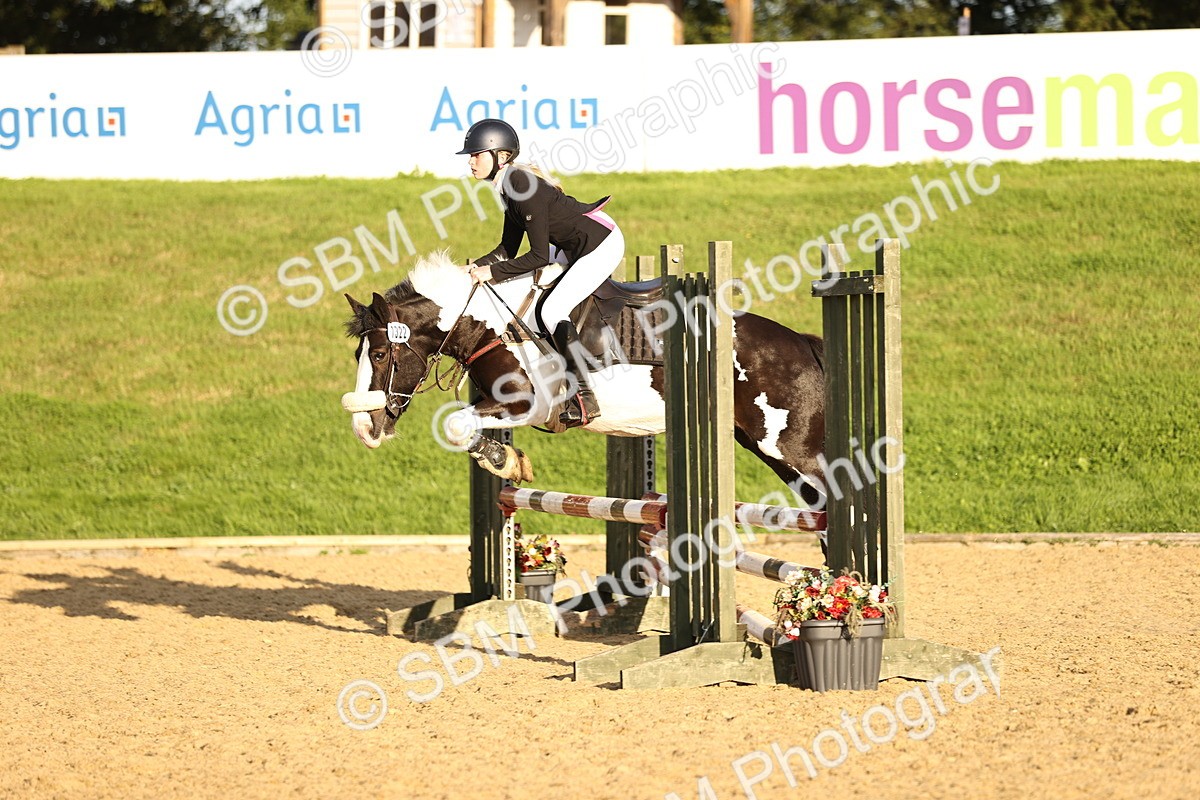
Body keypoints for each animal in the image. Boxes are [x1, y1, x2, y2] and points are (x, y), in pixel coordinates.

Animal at [341, 251, 825, 504]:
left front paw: (502, 460)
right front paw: (507, 460)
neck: (494, 323)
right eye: (358, 353)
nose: (363, 429)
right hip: (765, 448)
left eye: (380, 354)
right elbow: (464, 426)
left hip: (789, 448)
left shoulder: (527, 402)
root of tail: (802, 344)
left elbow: (455, 423)